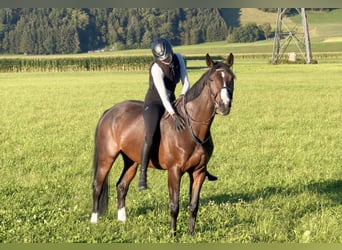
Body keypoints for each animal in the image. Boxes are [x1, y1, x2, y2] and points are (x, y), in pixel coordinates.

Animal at [91, 51, 235, 235]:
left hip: (131, 160)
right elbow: (174, 205)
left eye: (232, 78)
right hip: (106, 157)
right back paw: (94, 220)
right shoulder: (174, 171)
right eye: (211, 80)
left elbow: (194, 205)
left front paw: (191, 233)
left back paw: (122, 220)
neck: (190, 128)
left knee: (121, 186)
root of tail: (110, 111)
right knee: (97, 186)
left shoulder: (199, 172)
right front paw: (173, 234)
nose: (224, 105)